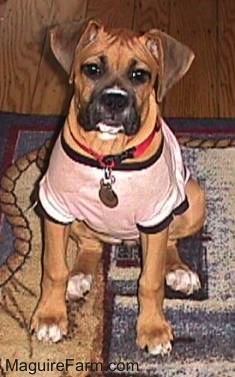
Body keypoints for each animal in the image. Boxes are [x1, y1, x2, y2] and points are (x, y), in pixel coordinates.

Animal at [30, 19, 206, 356]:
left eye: (140, 76)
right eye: (92, 69)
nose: (114, 100)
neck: (109, 157)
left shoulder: (155, 218)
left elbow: (150, 281)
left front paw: (153, 329)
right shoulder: (54, 208)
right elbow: (53, 268)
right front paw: (50, 317)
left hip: (192, 199)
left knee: (171, 241)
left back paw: (179, 271)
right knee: (90, 245)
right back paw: (79, 275)